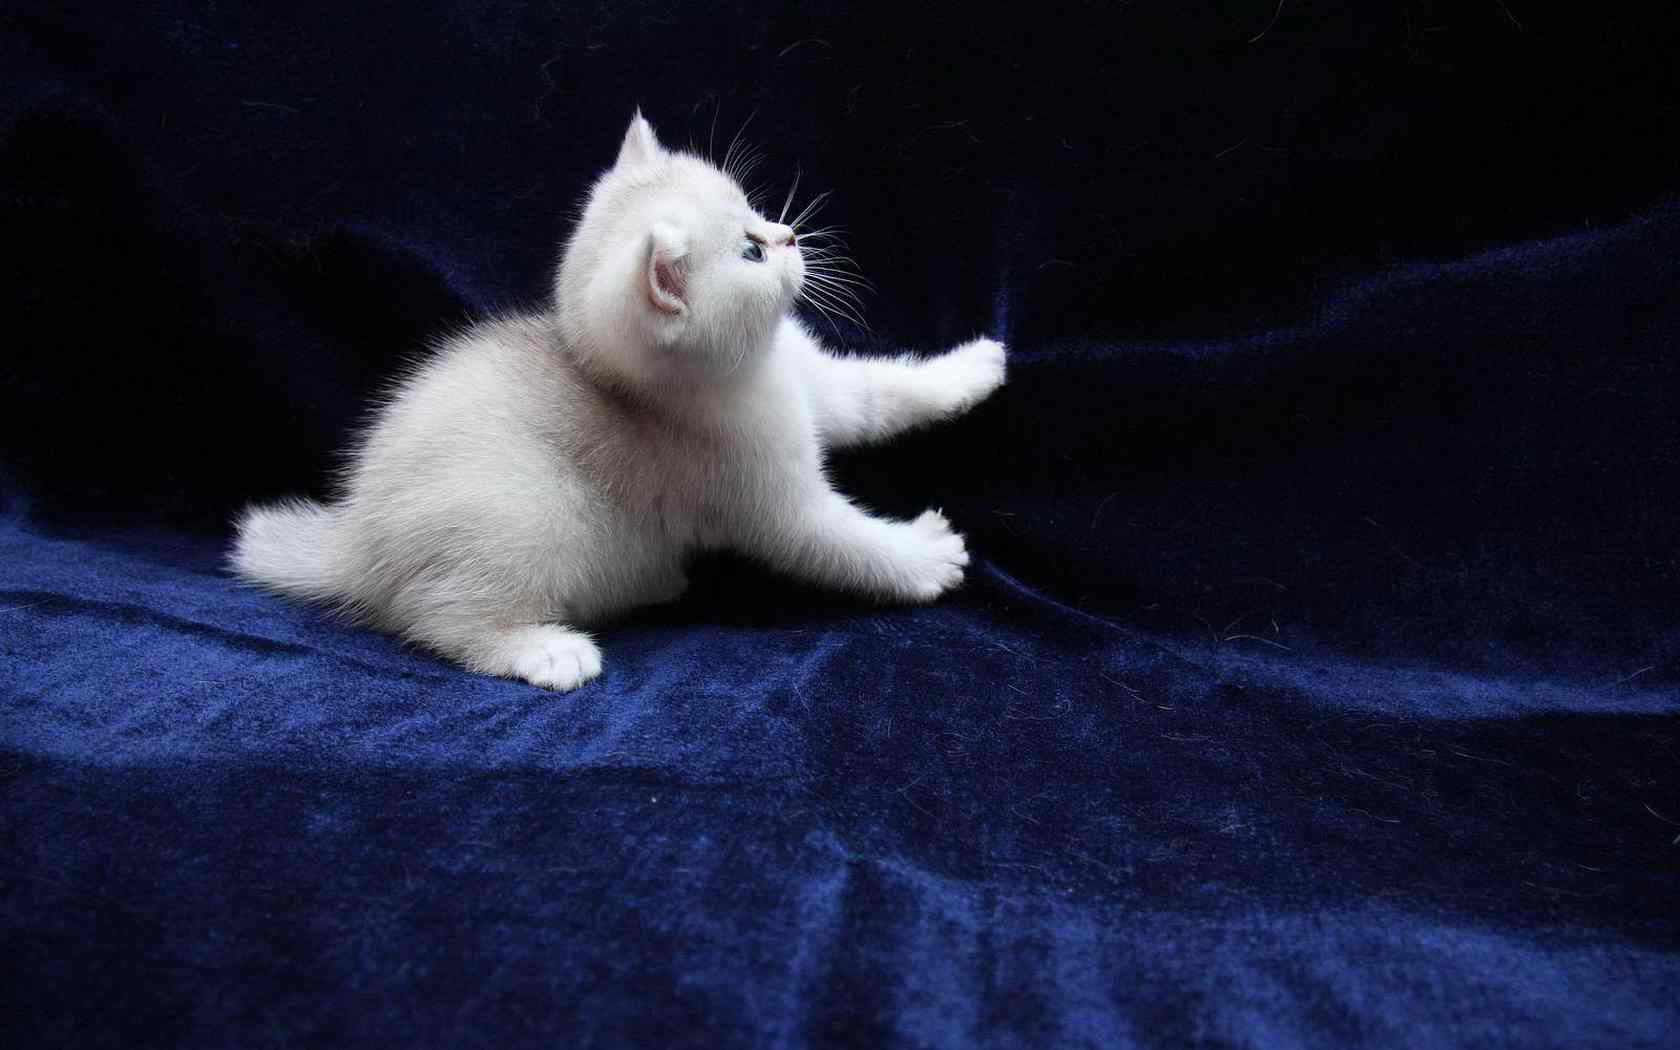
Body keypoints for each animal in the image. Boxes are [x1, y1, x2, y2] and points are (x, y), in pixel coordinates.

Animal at [231, 111, 1007, 690]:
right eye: (751, 253)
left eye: (753, 210)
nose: (788, 234)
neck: (749, 374)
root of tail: (355, 540)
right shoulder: (764, 502)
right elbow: (841, 543)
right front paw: (923, 558)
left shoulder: (819, 388)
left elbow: (877, 393)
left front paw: (974, 366)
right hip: (528, 510)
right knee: (437, 616)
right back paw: (545, 649)